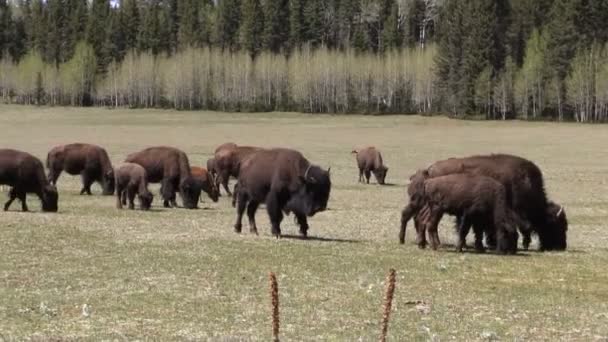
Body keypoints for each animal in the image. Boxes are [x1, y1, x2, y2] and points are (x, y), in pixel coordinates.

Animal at [410, 154, 568, 250]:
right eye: (556, 225)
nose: (561, 246)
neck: (526, 183)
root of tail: (430, 169)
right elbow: (523, 227)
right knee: (425, 220)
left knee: (422, 218)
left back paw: (423, 243)